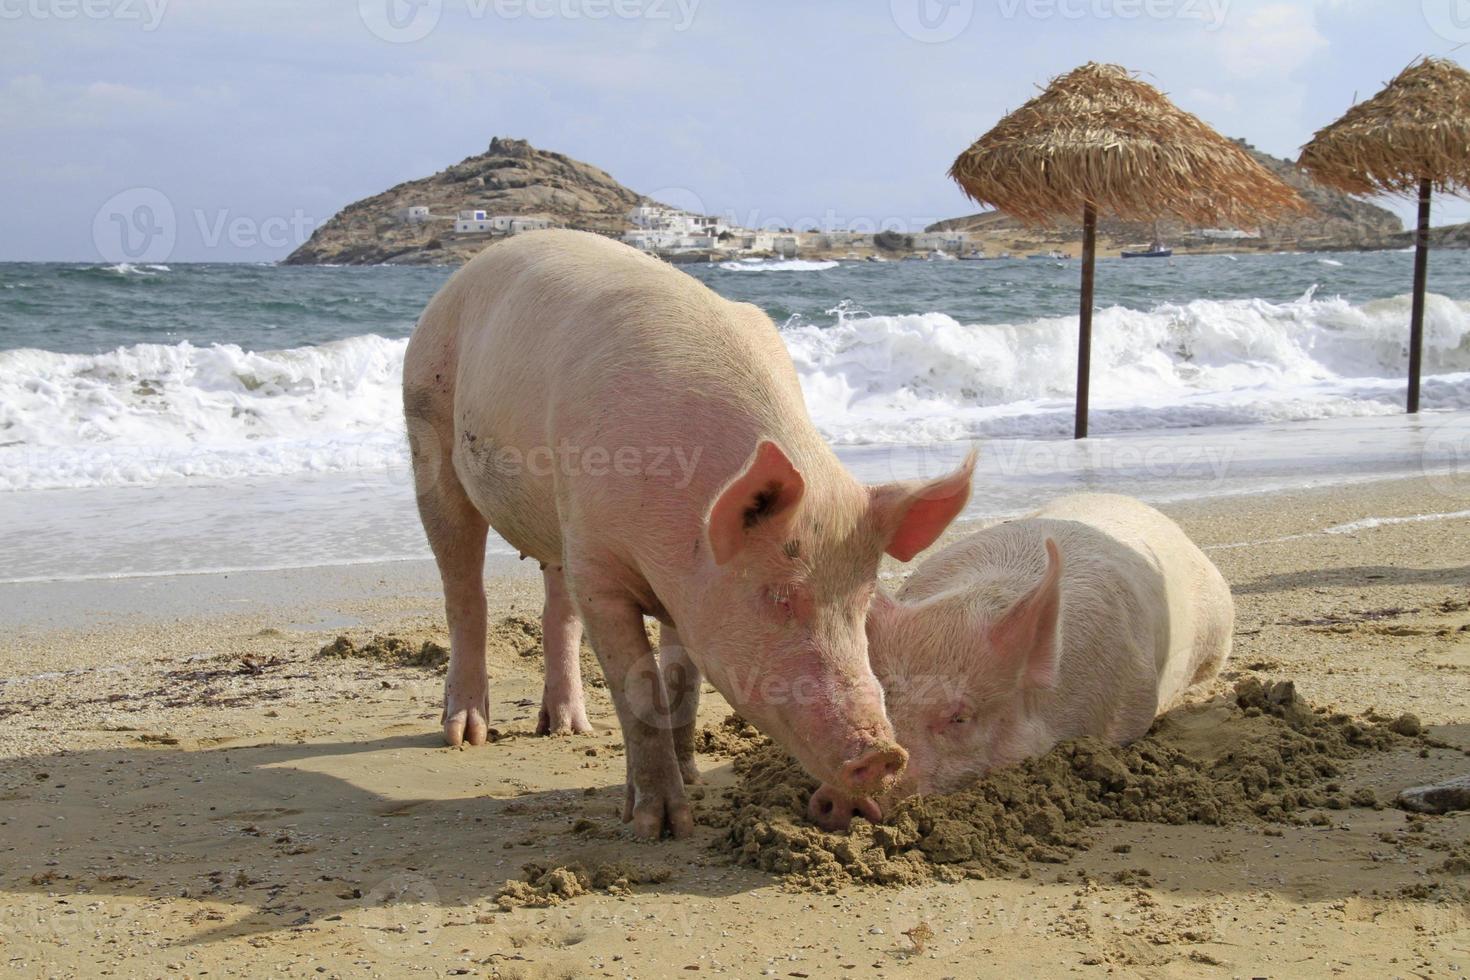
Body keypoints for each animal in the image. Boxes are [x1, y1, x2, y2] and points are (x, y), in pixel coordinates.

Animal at [402, 230, 976, 834]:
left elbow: (682, 683)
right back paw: (465, 735)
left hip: (555, 520)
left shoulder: (678, 587)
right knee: (464, 588)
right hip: (427, 427)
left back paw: (567, 728)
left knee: (557, 609)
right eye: (779, 597)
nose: (885, 754)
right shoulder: (600, 568)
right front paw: (660, 825)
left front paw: (694, 778)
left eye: (863, 603)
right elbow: (640, 687)